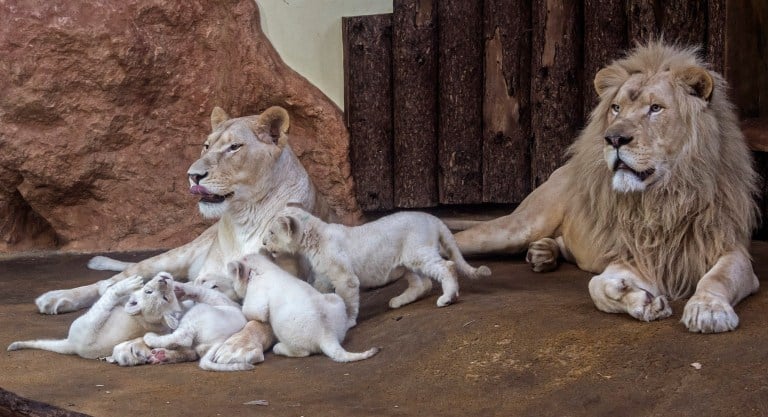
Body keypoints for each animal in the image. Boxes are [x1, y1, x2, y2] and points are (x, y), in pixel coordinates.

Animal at [33, 106, 341, 364]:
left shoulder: (290, 286)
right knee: (113, 280)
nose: (193, 175)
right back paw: (57, 298)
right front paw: (137, 344)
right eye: (207, 145)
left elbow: (259, 322)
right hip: (174, 257)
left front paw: (237, 346)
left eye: (234, 147)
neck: (246, 215)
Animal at [455, 42, 759, 333]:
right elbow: (596, 287)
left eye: (656, 108)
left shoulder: (731, 249)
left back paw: (543, 253)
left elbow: (717, 278)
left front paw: (707, 309)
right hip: (519, 226)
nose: (613, 138)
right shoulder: (635, 255)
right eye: (616, 108)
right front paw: (640, 300)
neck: (664, 197)